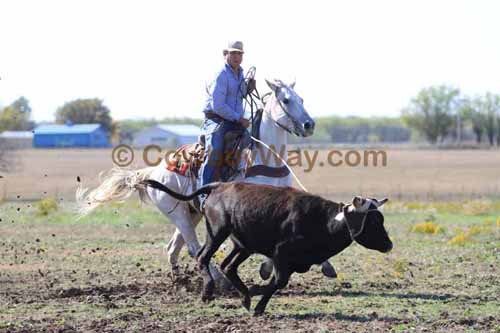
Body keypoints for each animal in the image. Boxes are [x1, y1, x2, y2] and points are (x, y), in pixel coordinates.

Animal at [77, 78, 336, 282]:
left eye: (301, 98)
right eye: (286, 100)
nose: (309, 124)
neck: (266, 157)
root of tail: (154, 172)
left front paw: (325, 266)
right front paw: (266, 268)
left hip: (192, 213)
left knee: (173, 249)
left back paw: (181, 280)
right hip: (176, 213)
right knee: (193, 248)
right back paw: (220, 280)